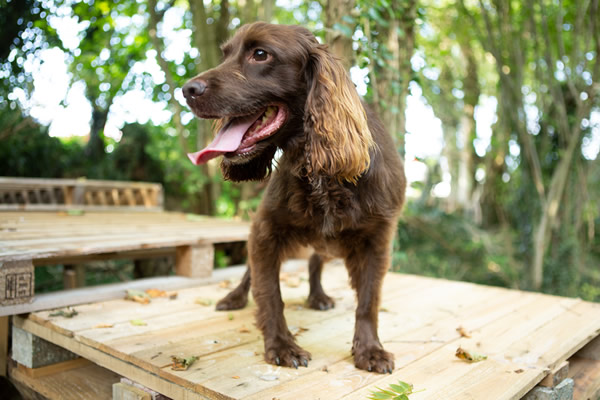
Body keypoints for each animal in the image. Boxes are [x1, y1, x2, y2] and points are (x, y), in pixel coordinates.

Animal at [183, 21, 406, 374]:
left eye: (261, 54)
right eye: (225, 54)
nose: (187, 90)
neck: (320, 170)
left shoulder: (377, 240)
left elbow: (369, 301)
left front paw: (370, 350)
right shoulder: (266, 230)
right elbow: (268, 291)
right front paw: (281, 345)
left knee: (315, 261)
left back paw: (318, 296)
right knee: (252, 272)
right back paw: (234, 297)